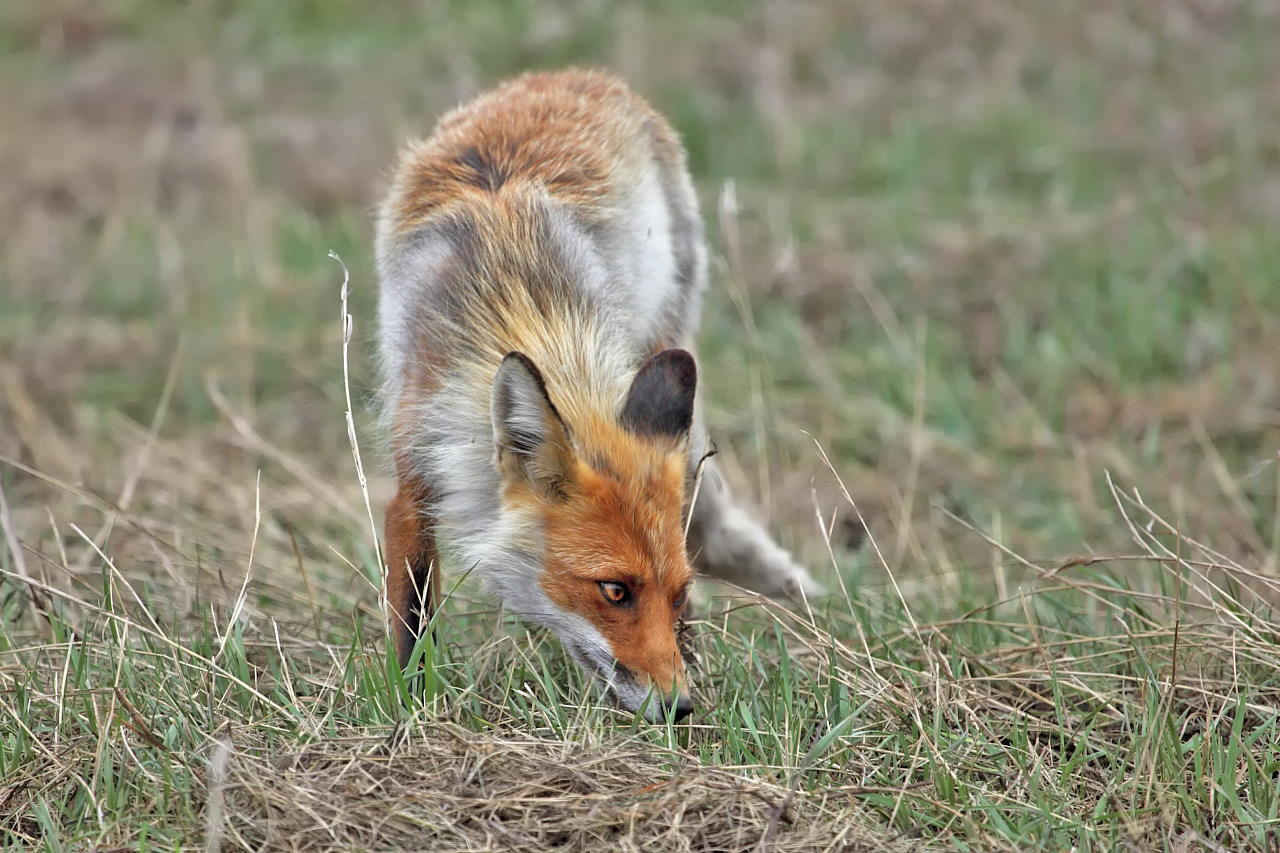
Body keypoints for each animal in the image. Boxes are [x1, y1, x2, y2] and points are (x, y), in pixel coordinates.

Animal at [373, 68, 824, 717]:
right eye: (614, 590)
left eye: (678, 594)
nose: (680, 709)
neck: (523, 304)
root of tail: (576, 74)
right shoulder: (417, 461)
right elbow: (412, 618)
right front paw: (412, 708)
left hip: (663, 337)